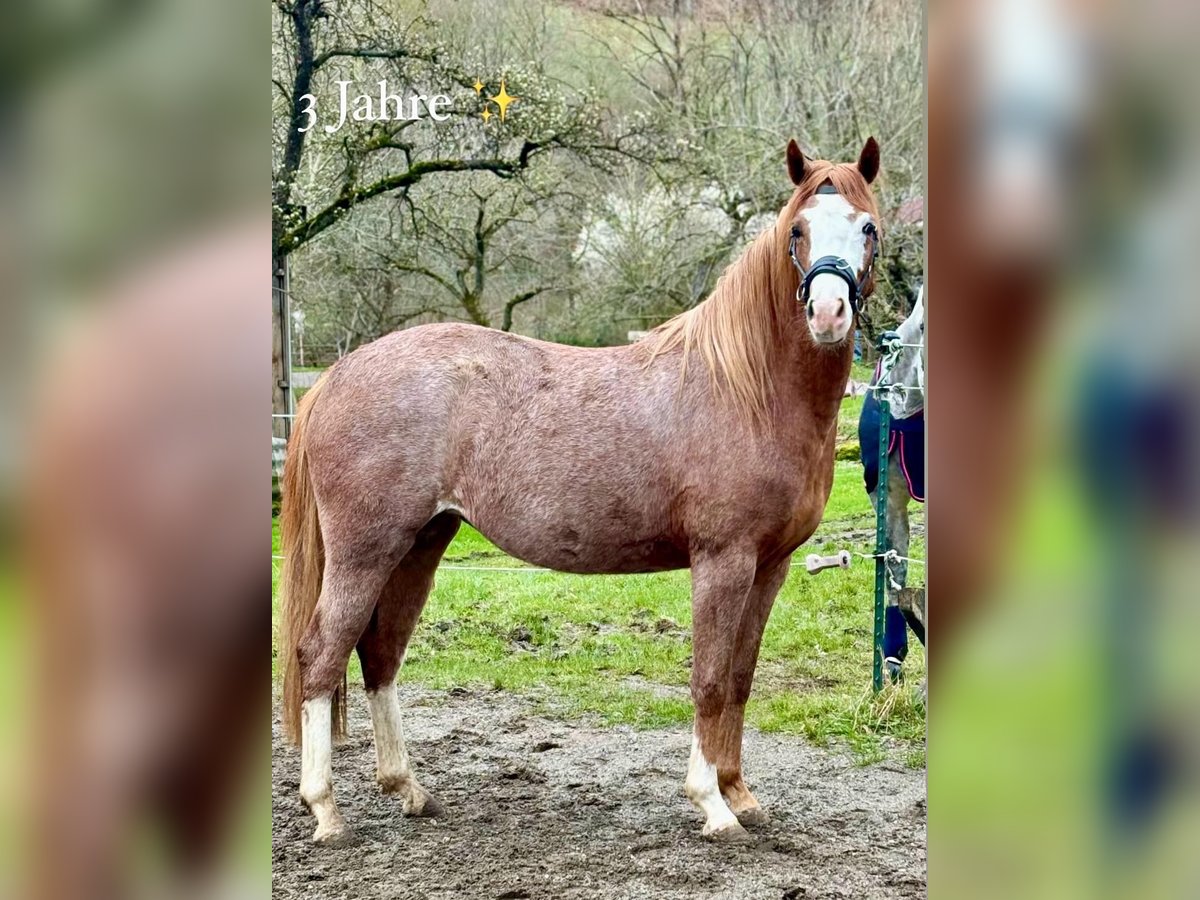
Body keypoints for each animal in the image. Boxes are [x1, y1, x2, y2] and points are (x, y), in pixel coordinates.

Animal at [278, 133, 883, 844]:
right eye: (797, 230)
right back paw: (325, 807)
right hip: (364, 551)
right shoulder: (723, 559)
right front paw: (711, 804)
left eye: (868, 228)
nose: (828, 312)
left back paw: (408, 789)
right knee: (321, 655)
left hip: (421, 542)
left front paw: (741, 794)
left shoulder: (772, 565)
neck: (747, 388)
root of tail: (337, 375)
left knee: (380, 654)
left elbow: (738, 678)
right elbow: (708, 680)